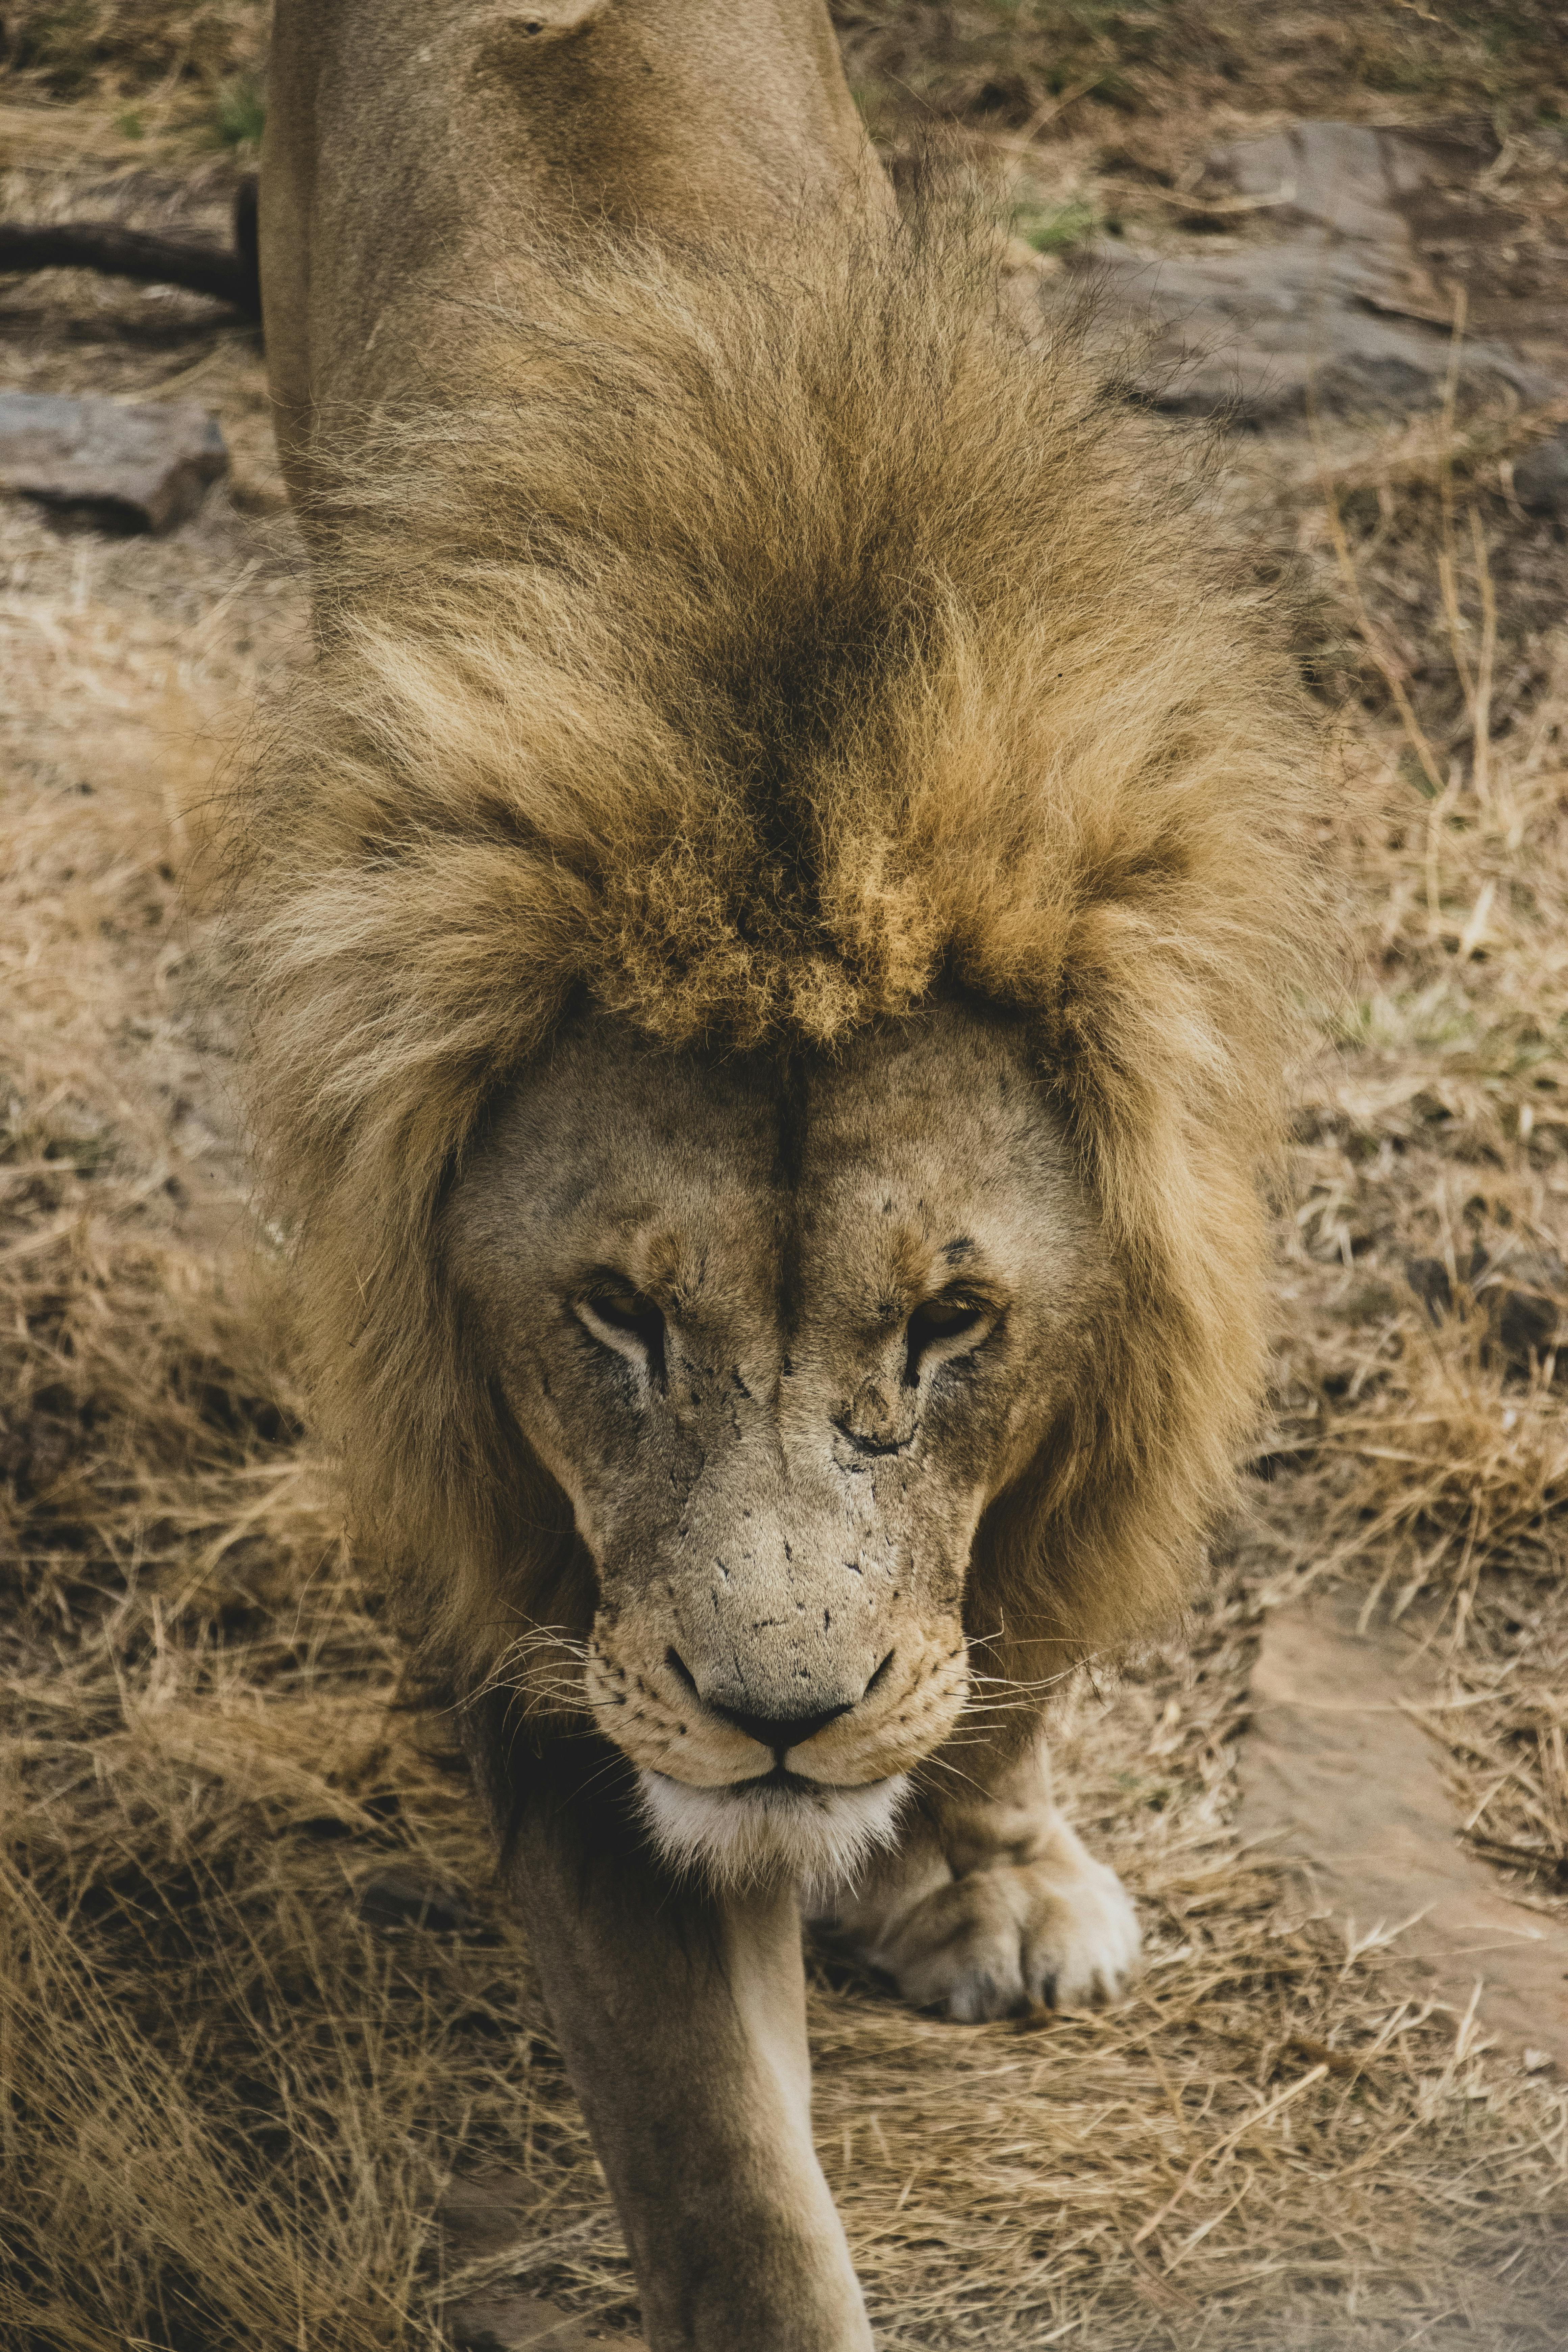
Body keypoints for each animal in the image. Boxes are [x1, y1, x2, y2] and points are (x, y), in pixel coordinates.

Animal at [245, 9, 1316, 2343]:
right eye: (614, 1314)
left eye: (954, 1320)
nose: (777, 1730)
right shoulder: (563, 1637)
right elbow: (721, 2163)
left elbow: (1017, 1655)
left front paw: (994, 1881)